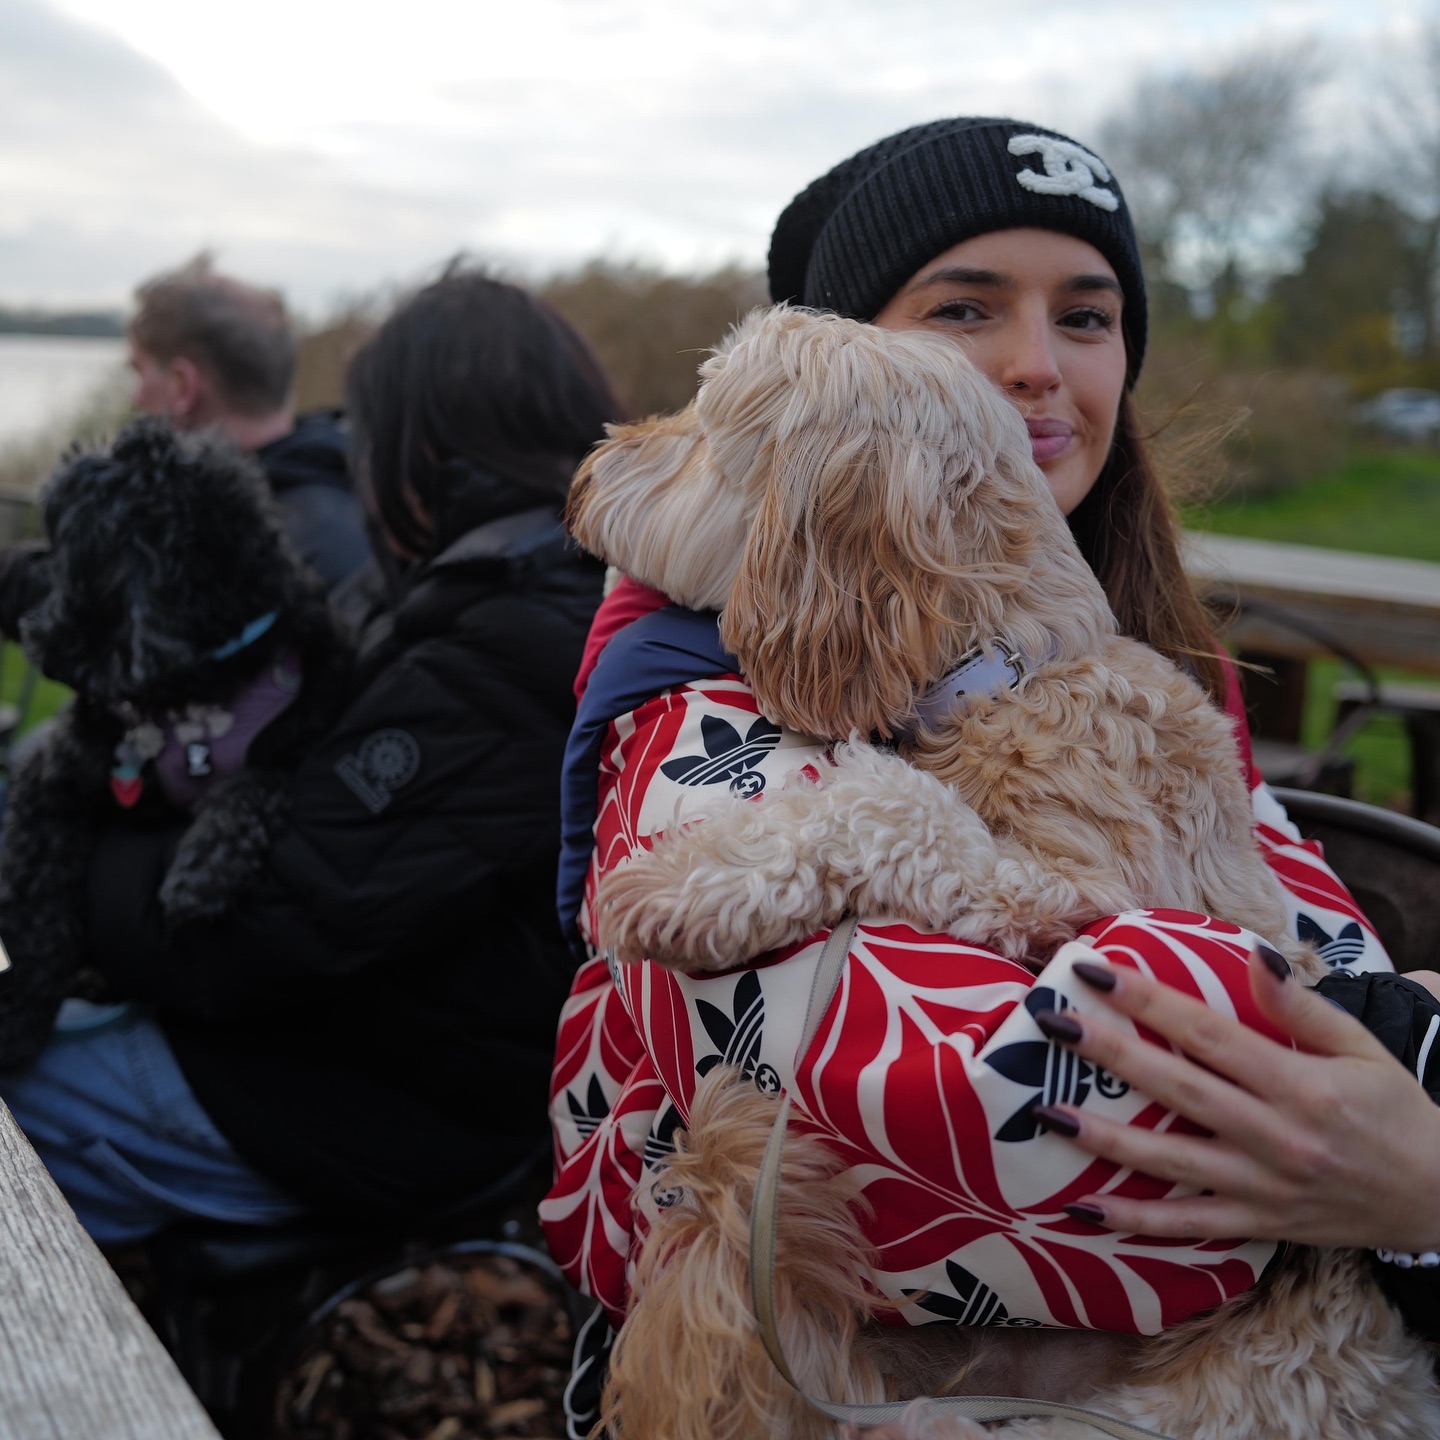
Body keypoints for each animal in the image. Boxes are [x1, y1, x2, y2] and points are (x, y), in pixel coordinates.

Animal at [0, 417, 354, 1071]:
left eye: (61, 542)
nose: (4, 569)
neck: (201, 690)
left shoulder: (303, 731)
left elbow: (257, 782)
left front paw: (207, 864)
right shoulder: (52, 781)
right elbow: (36, 911)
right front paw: (19, 1017)